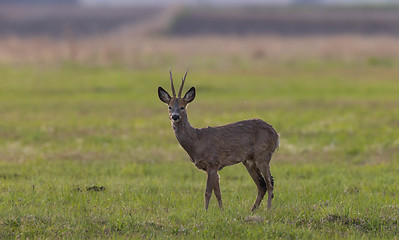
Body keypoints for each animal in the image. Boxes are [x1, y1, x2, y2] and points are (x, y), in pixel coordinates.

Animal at [158, 69, 280, 210]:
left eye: (183, 107)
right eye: (169, 107)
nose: (175, 116)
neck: (196, 141)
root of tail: (276, 134)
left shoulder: (213, 162)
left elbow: (207, 192)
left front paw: (205, 211)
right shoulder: (211, 167)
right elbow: (218, 192)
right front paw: (222, 210)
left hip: (263, 155)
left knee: (270, 183)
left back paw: (268, 209)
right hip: (249, 160)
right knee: (262, 184)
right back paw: (252, 210)